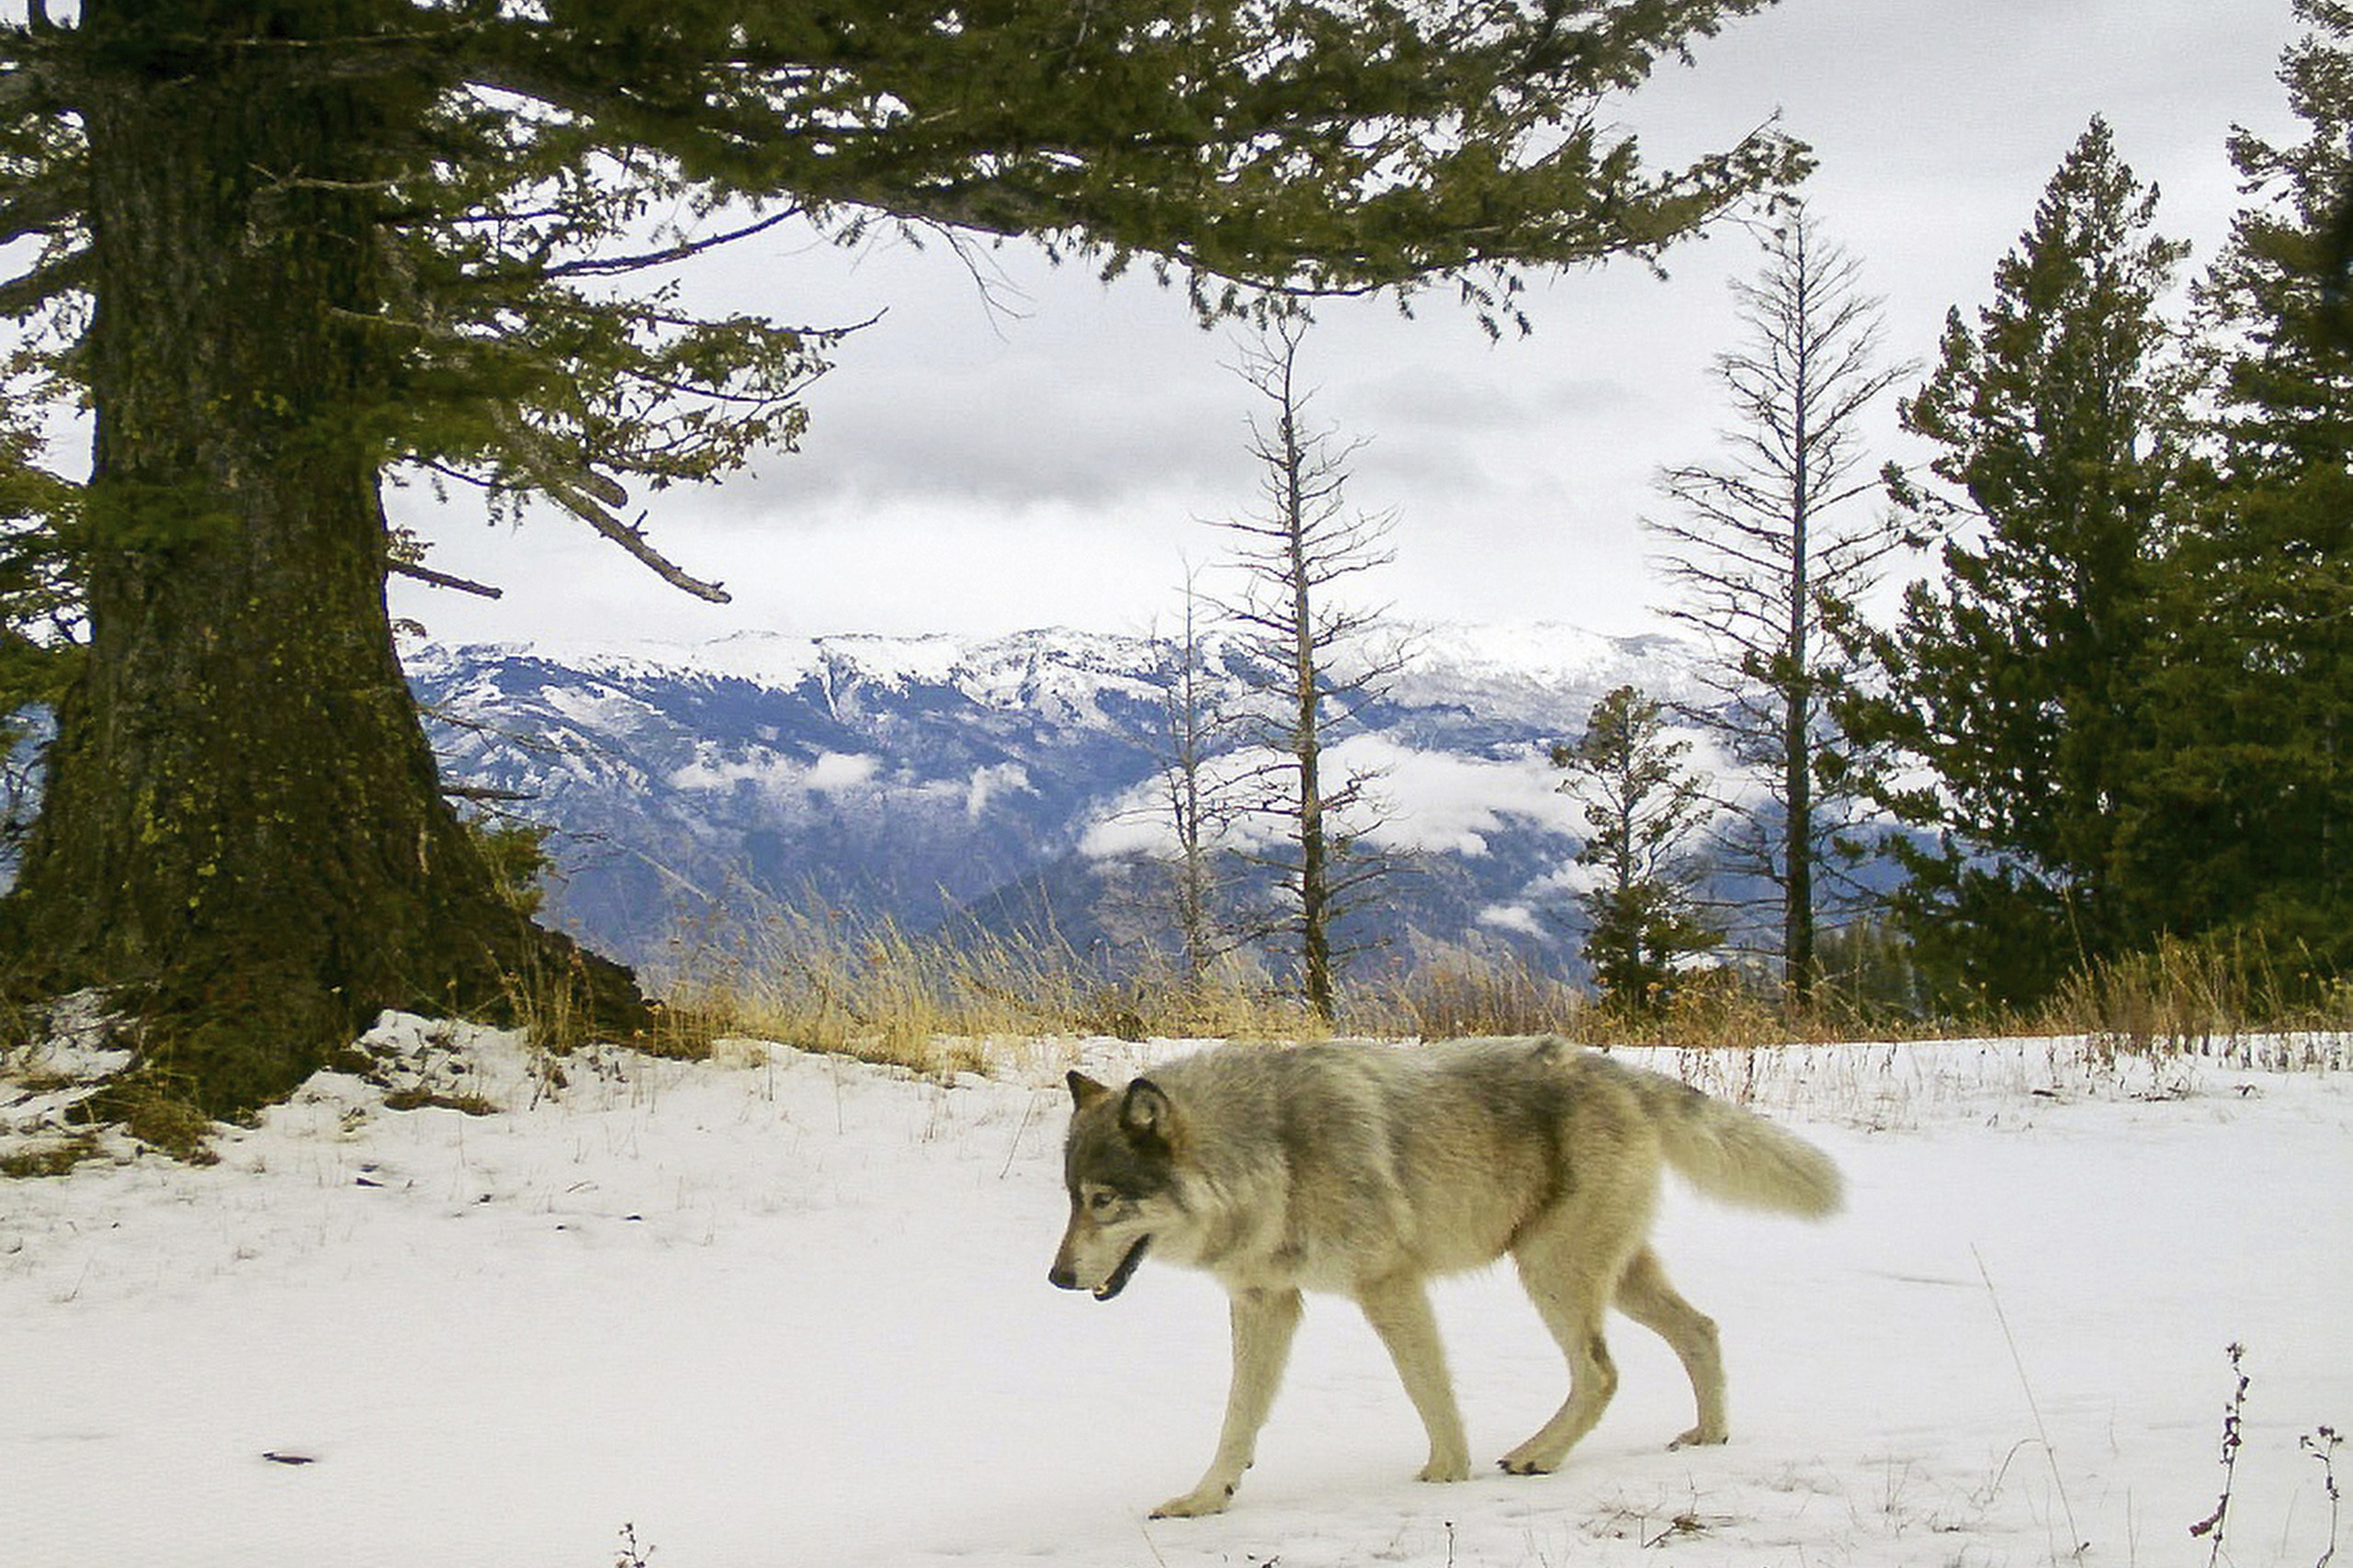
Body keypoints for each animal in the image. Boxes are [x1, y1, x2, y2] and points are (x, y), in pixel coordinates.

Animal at [1048, 1036, 1843, 1517]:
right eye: (1070, 1198)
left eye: (1104, 1200)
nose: (1055, 1277)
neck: (1271, 1154)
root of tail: (1615, 1069)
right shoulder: (1264, 1301)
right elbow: (1237, 1415)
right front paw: (1205, 1499)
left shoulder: (1388, 1284)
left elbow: (1426, 1387)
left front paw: (1446, 1474)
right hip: (1610, 1275)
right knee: (1700, 1328)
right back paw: (1708, 1434)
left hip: (1551, 1272)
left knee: (1601, 1370)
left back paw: (1536, 1454)